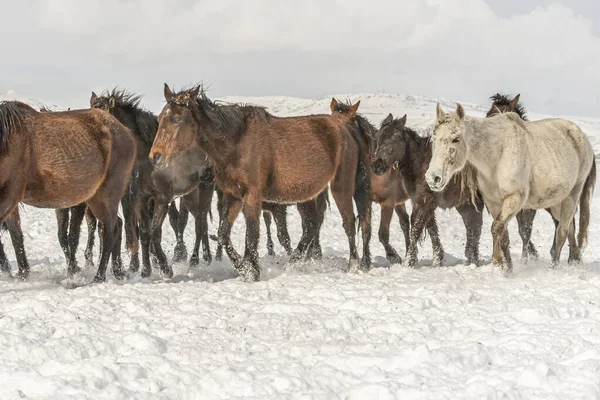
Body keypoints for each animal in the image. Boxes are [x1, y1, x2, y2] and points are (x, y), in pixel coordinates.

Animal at [0, 100, 135, 282]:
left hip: (105, 196)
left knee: (109, 232)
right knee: (117, 225)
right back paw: (117, 271)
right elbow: (16, 236)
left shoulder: (10, 195)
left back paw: (99, 277)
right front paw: (22, 273)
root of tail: (125, 132)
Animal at [150, 84, 370, 282]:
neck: (235, 145)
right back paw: (294, 261)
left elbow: (252, 232)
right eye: (159, 120)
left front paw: (251, 270)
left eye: (176, 120)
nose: (155, 156)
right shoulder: (232, 196)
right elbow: (223, 234)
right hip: (308, 196)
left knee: (348, 223)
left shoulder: (253, 195)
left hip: (341, 186)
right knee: (310, 227)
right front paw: (243, 266)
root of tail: (344, 129)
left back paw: (353, 265)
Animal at [330, 98, 410, 264]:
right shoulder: (365, 199)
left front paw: (393, 256)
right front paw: (365, 261)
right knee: (405, 223)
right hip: (399, 202)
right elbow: (366, 228)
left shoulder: (388, 202)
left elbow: (383, 233)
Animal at [370, 113, 482, 268]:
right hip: (466, 203)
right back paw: (472, 258)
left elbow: (416, 228)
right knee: (472, 225)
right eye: (377, 139)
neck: (421, 164)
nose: (377, 166)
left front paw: (409, 261)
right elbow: (431, 228)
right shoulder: (423, 201)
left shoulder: (425, 200)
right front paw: (437, 259)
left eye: (393, 139)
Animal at [426, 103, 596, 274]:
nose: (432, 178)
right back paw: (573, 260)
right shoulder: (493, 202)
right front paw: (507, 267)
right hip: (556, 203)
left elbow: (496, 227)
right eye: (433, 139)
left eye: (455, 139)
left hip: (572, 195)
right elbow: (503, 234)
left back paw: (553, 267)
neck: (498, 155)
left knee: (562, 231)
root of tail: (583, 138)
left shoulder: (515, 198)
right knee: (569, 228)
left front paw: (498, 263)